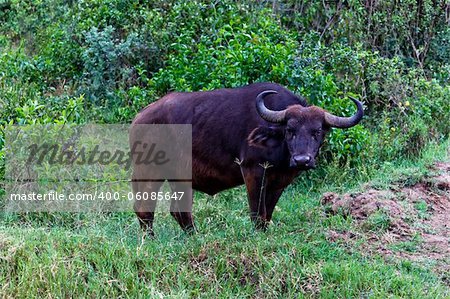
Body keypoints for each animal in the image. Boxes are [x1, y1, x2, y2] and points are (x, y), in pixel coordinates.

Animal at [129, 83, 362, 236]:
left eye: (318, 131)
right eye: (290, 130)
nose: (302, 160)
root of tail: (140, 118)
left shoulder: (280, 182)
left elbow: (268, 212)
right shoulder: (252, 171)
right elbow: (257, 212)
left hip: (181, 178)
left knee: (178, 211)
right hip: (149, 172)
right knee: (145, 209)